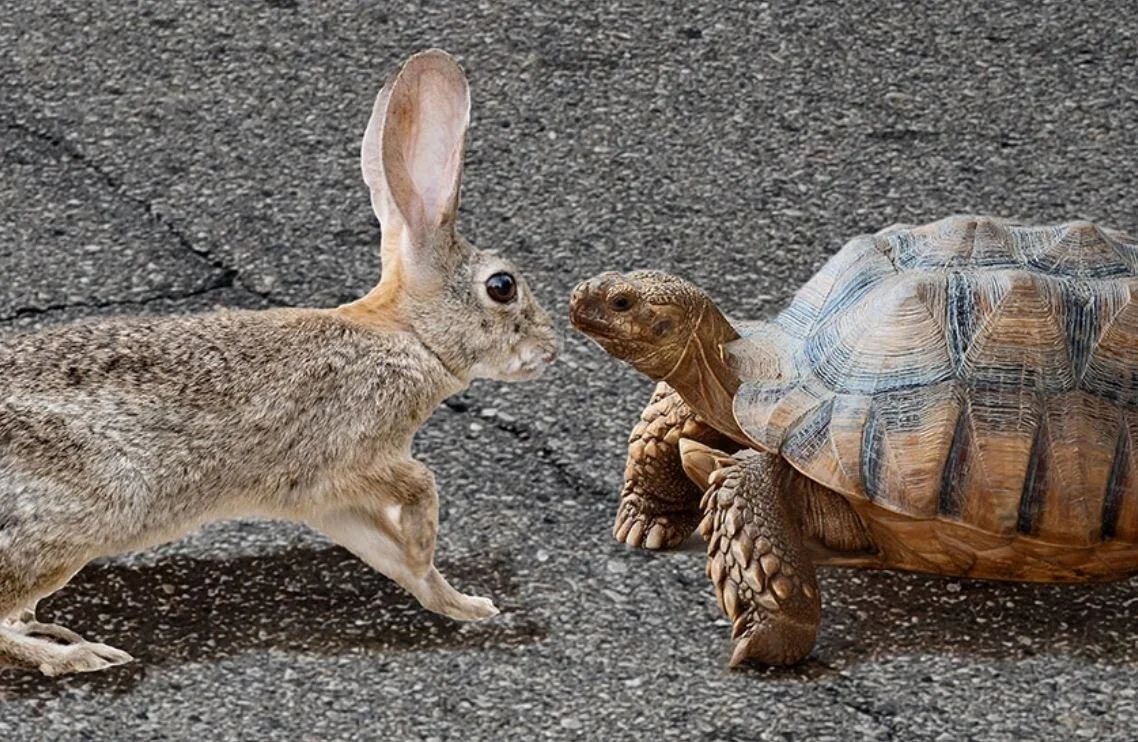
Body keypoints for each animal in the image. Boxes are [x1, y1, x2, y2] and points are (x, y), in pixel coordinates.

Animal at [0, 48, 559, 676]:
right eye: (502, 286)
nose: (551, 349)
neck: (409, 337)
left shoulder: (325, 500)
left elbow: (391, 558)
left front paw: (466, 605)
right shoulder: (350, 454)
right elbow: (421, 485)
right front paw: (429, 549)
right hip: (78, 517)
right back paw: (80, 656)